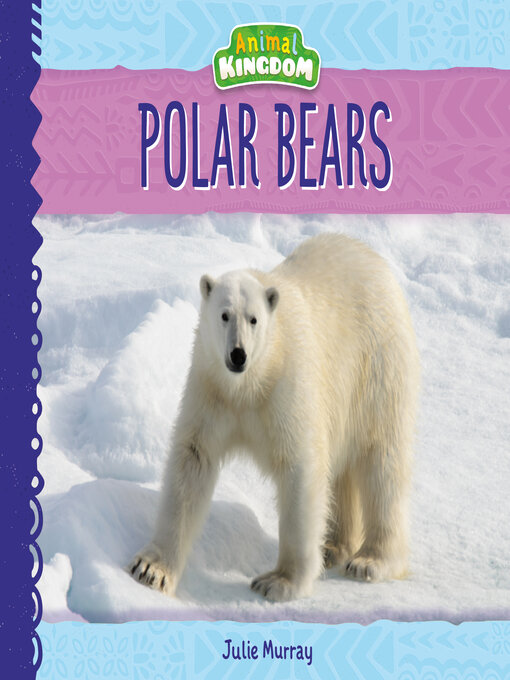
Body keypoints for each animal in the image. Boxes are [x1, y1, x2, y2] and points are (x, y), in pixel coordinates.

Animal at [128, 233, 420, 602]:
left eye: (253, 319)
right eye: (224, 315)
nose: (238, 354)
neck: (251, 382)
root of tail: (374, 259)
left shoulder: (287, 388)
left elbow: (300, 468)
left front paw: (278, 582)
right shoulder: (211, 390)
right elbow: (192, 462)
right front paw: (150, 569)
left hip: (377, 367)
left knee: (381, 462)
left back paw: (371, 560)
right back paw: (333, 547)